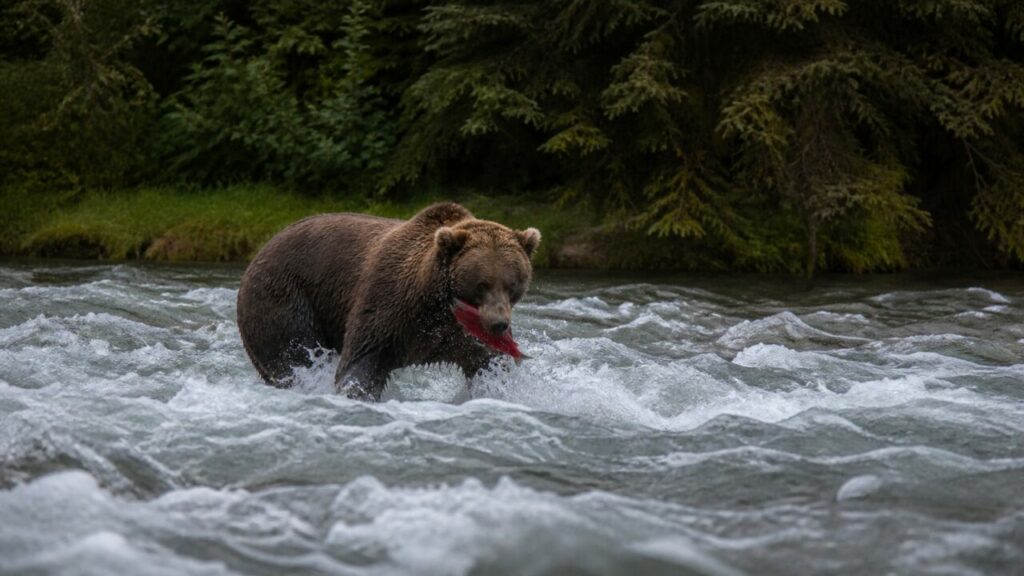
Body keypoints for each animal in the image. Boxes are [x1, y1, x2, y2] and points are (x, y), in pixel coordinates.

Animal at [236, 202, 540, 400]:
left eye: (513, 284)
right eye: (482, 284)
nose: (499, 324)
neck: (434, 303)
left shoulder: (459, 332)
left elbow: (489, 363)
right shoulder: (389, 305)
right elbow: (362, 361)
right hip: (284, 299)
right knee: (293, 354)